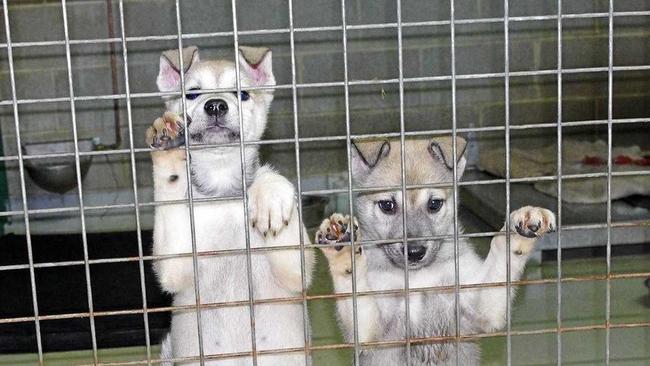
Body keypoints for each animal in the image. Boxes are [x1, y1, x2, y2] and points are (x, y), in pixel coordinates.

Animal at [314, 136, 552, 364]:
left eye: (434, 204)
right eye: (387, 205)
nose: (415, 252)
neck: (417, 277)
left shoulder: (482, 304)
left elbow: (500, 249)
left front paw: (520, 229)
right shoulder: (368, 332)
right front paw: (342, 248)